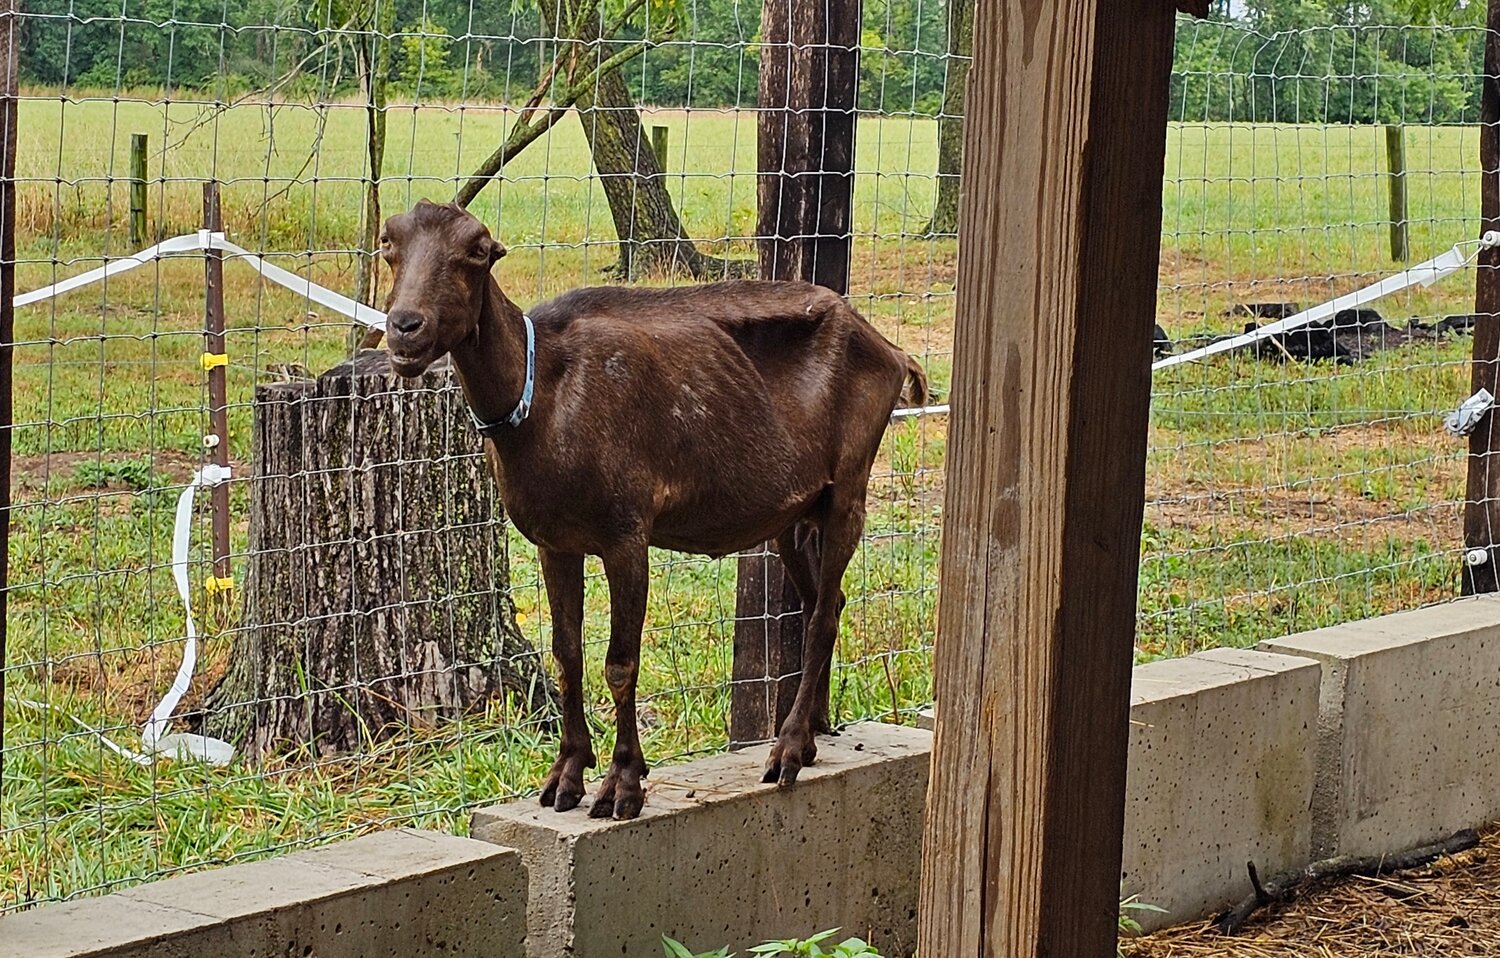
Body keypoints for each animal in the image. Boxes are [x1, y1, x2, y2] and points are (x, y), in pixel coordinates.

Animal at [378, 200, 924, 815]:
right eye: (389, 244)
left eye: (475, 250)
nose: (405, 327)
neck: (544, 396)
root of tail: (890, 349)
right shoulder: (554, 542)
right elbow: (566, 653)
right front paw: (565, 776)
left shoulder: (626, 533)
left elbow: (621, 662)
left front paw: (622, 783)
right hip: (793, 513)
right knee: (822, 606)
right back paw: (810, 736)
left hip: (849, 490)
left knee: (826, 612)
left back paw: (785, 750)